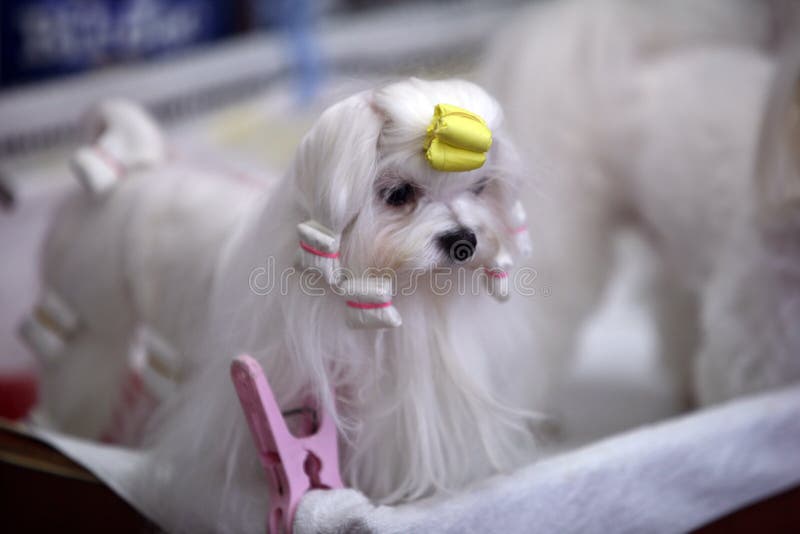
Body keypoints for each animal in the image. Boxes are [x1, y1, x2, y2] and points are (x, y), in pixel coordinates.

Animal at [23, 78, 544, 532]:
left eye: (480, 189)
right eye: (398, 194)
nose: (463, 240)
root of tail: (133, 170)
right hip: (92, 313)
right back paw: (56, 425)